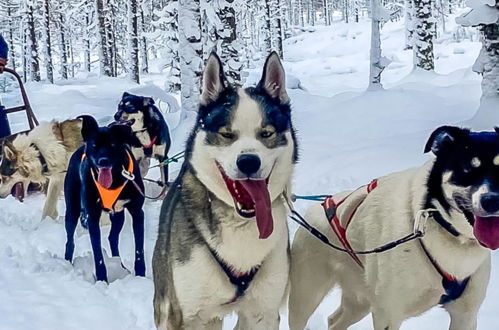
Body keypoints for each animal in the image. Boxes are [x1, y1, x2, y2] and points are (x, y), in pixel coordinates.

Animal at [63, 114, 146, 282]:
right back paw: (67, 263)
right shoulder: (93, 216)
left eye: (113, 144)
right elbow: (97, 254)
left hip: (118, 216)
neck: (115, 180)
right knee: (70, 241)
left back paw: (120, 265)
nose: (103, 161)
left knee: (112, 238)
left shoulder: (137, 212)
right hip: (72, 210)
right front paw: (102, 279)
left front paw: (141, 275)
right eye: (94, 145)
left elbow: (139, 249)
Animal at [288, 125, 499, 328]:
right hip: (307, 296)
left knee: (334, 320)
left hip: (361, 301)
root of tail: (319, 207)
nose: (492, 201)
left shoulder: (465, 315)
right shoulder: (389, 315)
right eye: (467, 168)